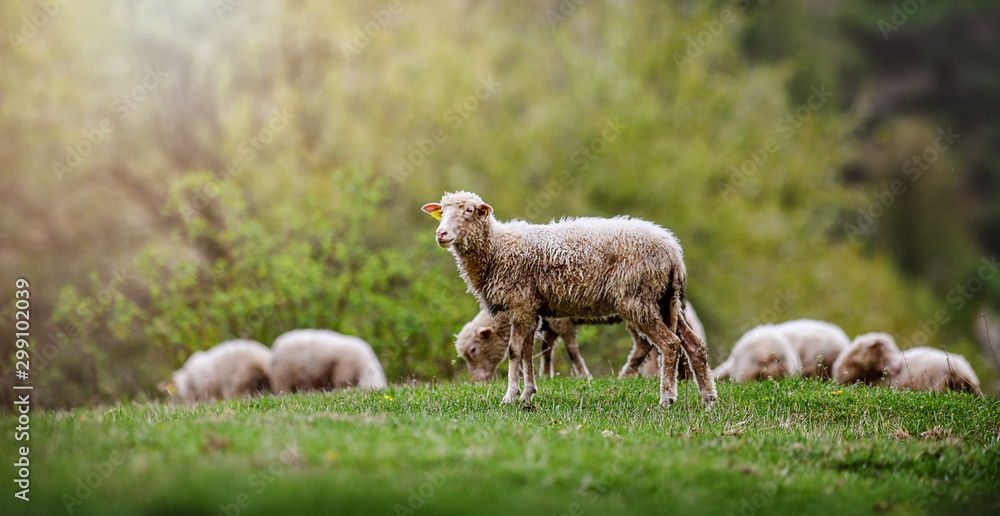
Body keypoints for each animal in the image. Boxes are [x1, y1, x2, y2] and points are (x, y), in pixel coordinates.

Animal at [455, 310, 592, 381]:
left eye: (473, 350)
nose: (476, 380)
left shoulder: (562, 321)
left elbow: (572, 350)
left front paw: (585, 376)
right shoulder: (551, 327)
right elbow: (546, 350)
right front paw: (546, 376)